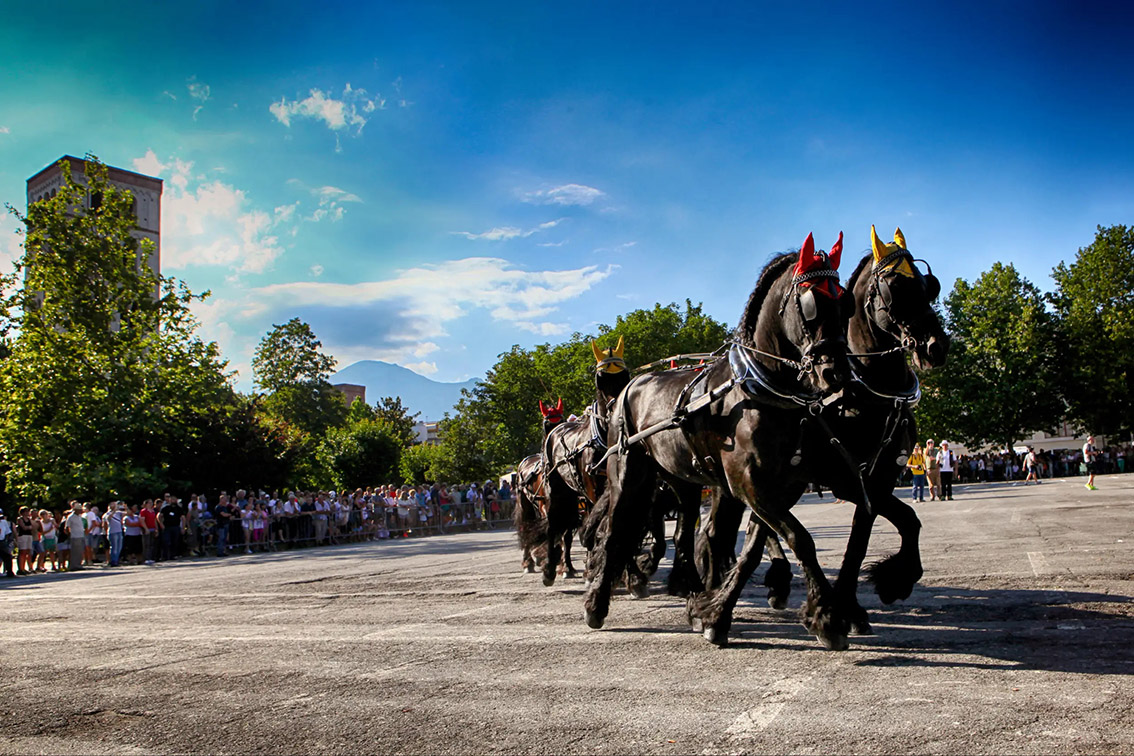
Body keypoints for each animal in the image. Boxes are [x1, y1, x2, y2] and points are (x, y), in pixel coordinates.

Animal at [515, 338, 632, 586]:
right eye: (601, 378)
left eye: (624, 374)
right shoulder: (590, 493)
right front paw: (587, 570)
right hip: (547, 497)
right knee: (543, 526)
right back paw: (541, 565)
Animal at [582, 233, 855, 650]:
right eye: (810, 303)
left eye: (844, 302)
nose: (836, 372)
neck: (759, 389)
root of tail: (629, 388)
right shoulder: (748, 485)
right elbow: (800, 539)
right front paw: (828, 616)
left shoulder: (780, 488)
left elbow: (754, 549)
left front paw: (714, 614)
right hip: (628, 476)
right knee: (615, 532)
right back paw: (598, 604)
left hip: (682, 482)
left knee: (683, 534)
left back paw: (692, 593)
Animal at [690, 225, 950, 645]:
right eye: (893, 287)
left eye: (930, 286)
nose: (935, 346)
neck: (867, 396)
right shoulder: (844, 479)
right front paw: (836, 609)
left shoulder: (875, 481)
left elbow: (890, 528)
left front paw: (873, 593)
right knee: (732, 531)